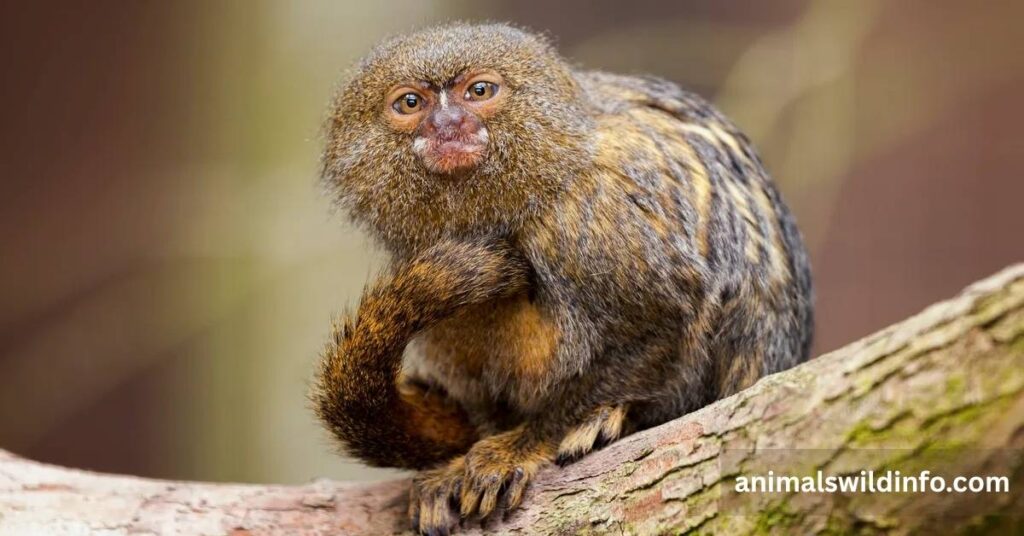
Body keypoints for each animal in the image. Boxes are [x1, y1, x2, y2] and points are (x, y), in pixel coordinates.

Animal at [311, 23, 813, 535]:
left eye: (479, 91)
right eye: (410, 103)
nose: (447, 124)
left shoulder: (589, 209)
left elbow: (664, 316)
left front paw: (525, 443)